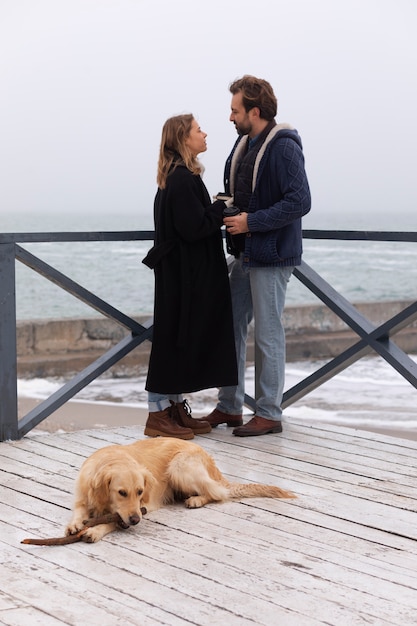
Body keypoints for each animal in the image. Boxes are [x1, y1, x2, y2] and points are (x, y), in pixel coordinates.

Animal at [66, 434, 294, 540]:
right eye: (122, 493)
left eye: (140, 492)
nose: (136, 520)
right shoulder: (81, 496)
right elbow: (79, 510)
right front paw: (75, 524)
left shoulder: (142, 507)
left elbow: (113, 521)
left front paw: (95, 530)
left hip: (179, 466)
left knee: (217, 493)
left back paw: (196, 500)